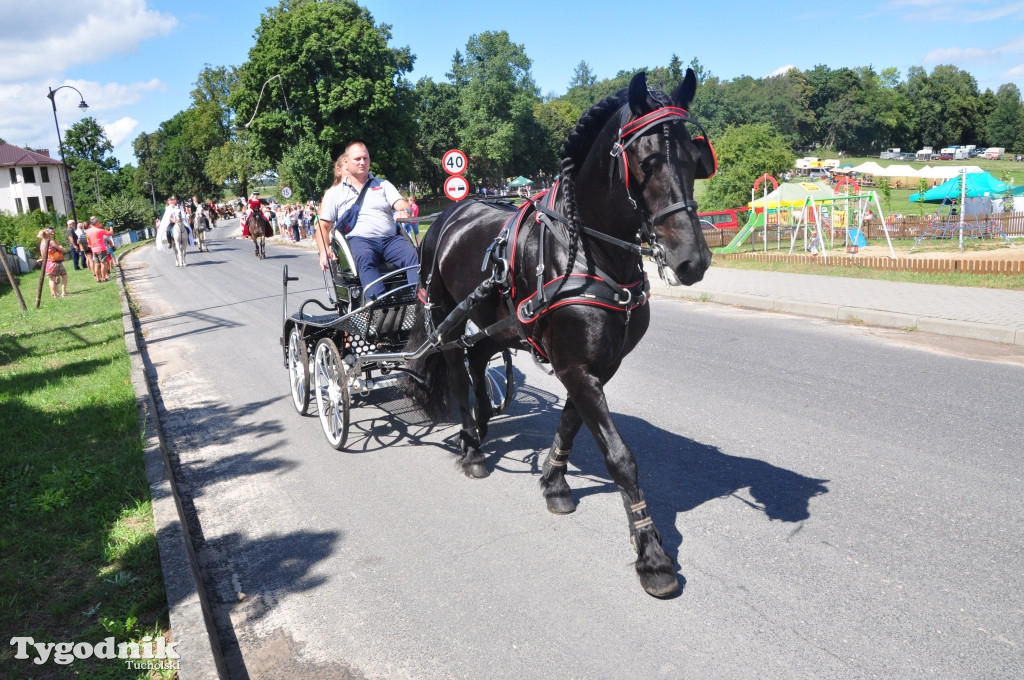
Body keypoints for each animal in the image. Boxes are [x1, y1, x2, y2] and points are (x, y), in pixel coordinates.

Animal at [401, 69, 712, 593]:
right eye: (646, 161)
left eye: (695, 159)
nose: (693, 260)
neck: (587, 253)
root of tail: (448, 214)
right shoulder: (575, 365)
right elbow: (619, 455)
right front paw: (651, 553)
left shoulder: (595, 365)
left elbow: (569, 423)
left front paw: (554, 481)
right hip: (445, 311)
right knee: (457, 371)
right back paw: (471, 445)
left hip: (502, 322)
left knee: (478, 357)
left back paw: (482, 427)